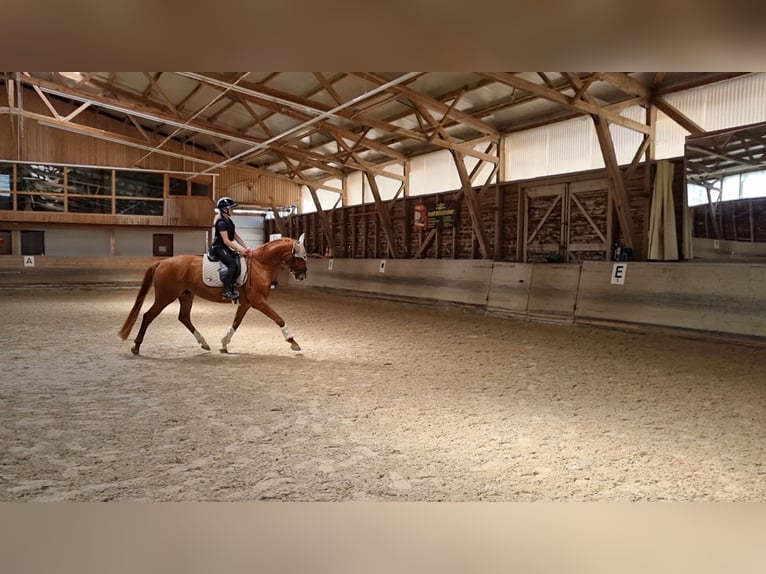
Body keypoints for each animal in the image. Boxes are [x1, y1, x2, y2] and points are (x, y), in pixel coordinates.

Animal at [118, 234, 308, 355]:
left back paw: (204, 343)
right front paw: (293, 342)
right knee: (148, 316)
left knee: (184, 317)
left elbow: (236, 323)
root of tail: (162, 262)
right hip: (165, 296)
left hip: (186, 295)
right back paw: (136, 346)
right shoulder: (259, 302)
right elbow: (278, 318)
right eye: (301, 256)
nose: (302, 276)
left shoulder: (246, 303)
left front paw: (224, 344)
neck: (260, 265)